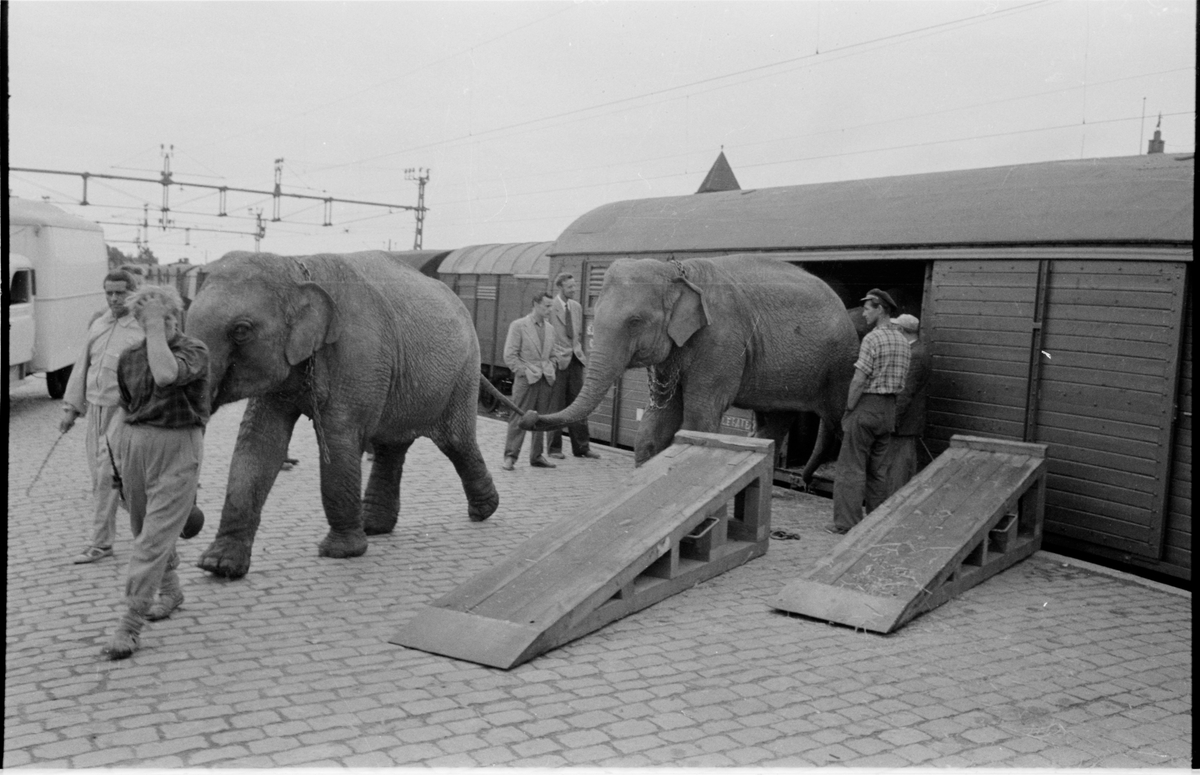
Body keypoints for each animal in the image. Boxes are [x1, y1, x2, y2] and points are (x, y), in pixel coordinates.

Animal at [185, 250, 512, 579]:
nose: (193, 523)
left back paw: (484, 510)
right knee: (391, 446)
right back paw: (374, 526)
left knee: (455, 441)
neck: (298, 267)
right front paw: (219, 566)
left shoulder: (358, 356)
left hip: (463, 373)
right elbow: (259, 441)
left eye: (241, 330)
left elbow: (338, 436)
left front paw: (340, 553)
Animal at [521, 255, 861, 475]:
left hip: (843, 364)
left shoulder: (721, 338)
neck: (678, 270)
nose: (529, 414)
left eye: (635, 321)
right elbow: (659, 416)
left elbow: (698, 417)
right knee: (776, 420)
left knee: (842, 422)